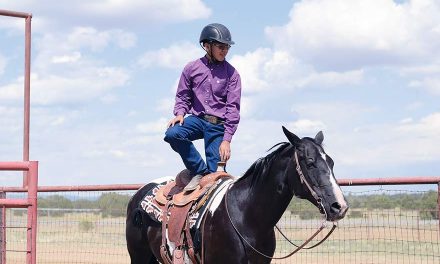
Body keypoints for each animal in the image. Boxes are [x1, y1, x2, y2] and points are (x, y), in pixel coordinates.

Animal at [125, 127, 348, 262]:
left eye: (331, 162)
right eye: (309, 162)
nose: (339, 206)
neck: (247, 217)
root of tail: (139, 195)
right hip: (139, 257)